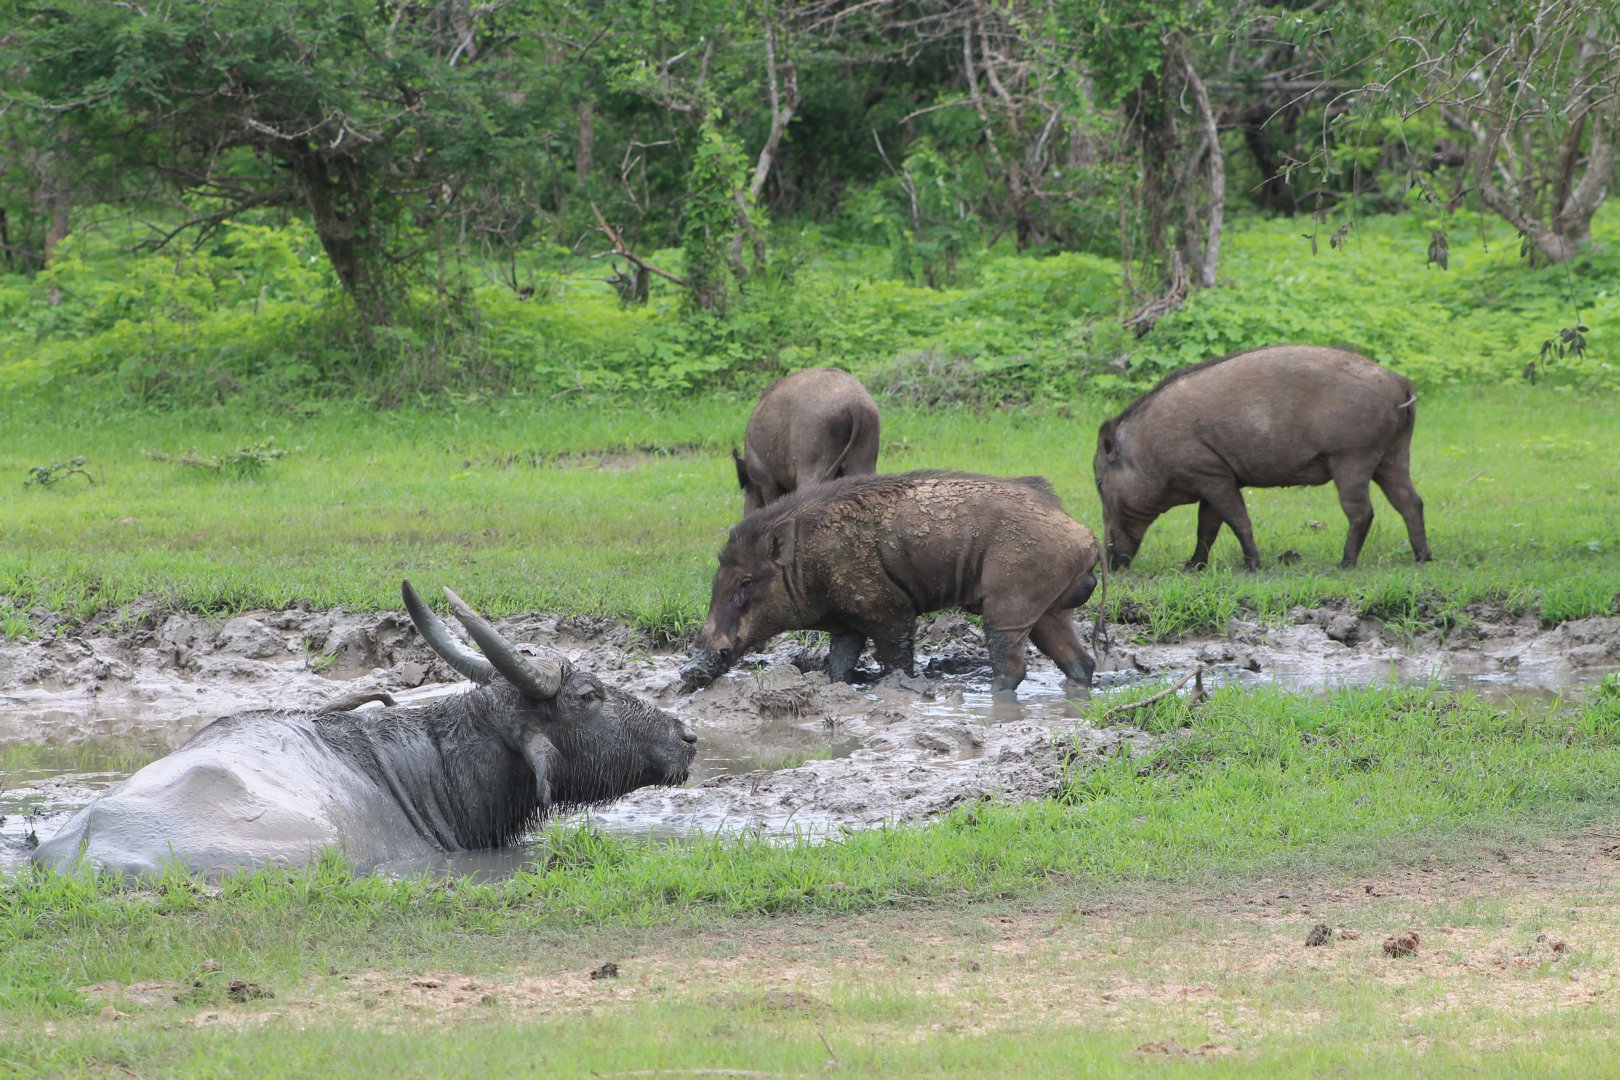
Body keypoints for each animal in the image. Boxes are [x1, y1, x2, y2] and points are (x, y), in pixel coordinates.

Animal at [1094, 344, 1431, 570]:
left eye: (1099, 483)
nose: (1108, 562)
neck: (1148, 452)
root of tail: (1401, 384)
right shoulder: (1214, 477)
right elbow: (1208, 526)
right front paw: (1191, 567)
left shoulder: (1210, 474)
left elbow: (1236, 520)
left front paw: (1251, 567)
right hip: (1393, 456)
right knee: (1410, 502)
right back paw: (1422, 558)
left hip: (1352, 457)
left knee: (1362, 511)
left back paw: (1345, 564)